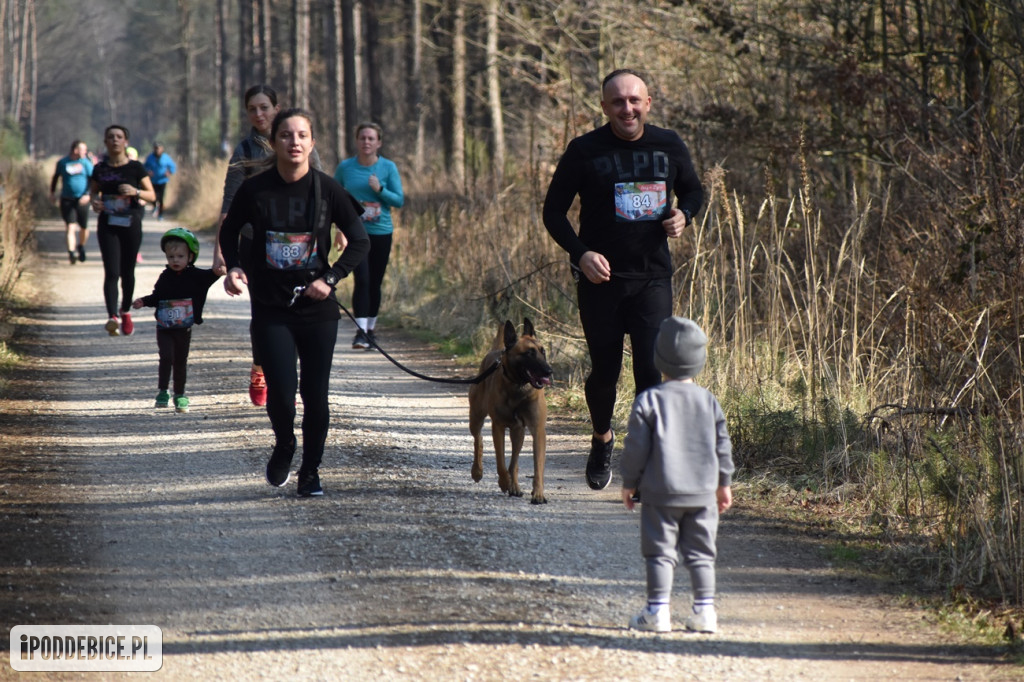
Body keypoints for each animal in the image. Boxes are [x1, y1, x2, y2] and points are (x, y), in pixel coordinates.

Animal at [468, 315, 552, 501]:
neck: (518, 386)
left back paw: (514, 485)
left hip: (518, 432)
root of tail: (495, 351)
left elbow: (537, 465)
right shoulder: (498, 427)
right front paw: (504, 482)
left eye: (543, 351)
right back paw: (477, 471)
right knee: (478, 439)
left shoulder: (537, 430)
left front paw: (538, 493)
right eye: (529, 353)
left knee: (514, 461)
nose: (549, 371)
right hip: (476, 417)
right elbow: (500, 460)